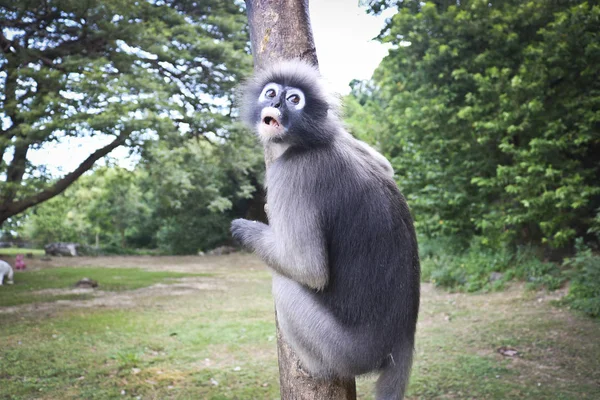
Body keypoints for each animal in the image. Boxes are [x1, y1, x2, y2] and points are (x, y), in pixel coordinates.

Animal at [232, 60, 420, 400]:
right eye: (271, 93)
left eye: (294, 100)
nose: (276, 105)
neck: (313, 142)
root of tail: (403, 340)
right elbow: (387, 165)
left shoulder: (290, 175)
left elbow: (308, 268)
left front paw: (242, 228)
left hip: (343, 350)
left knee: (284, 284)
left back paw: (315, 370)